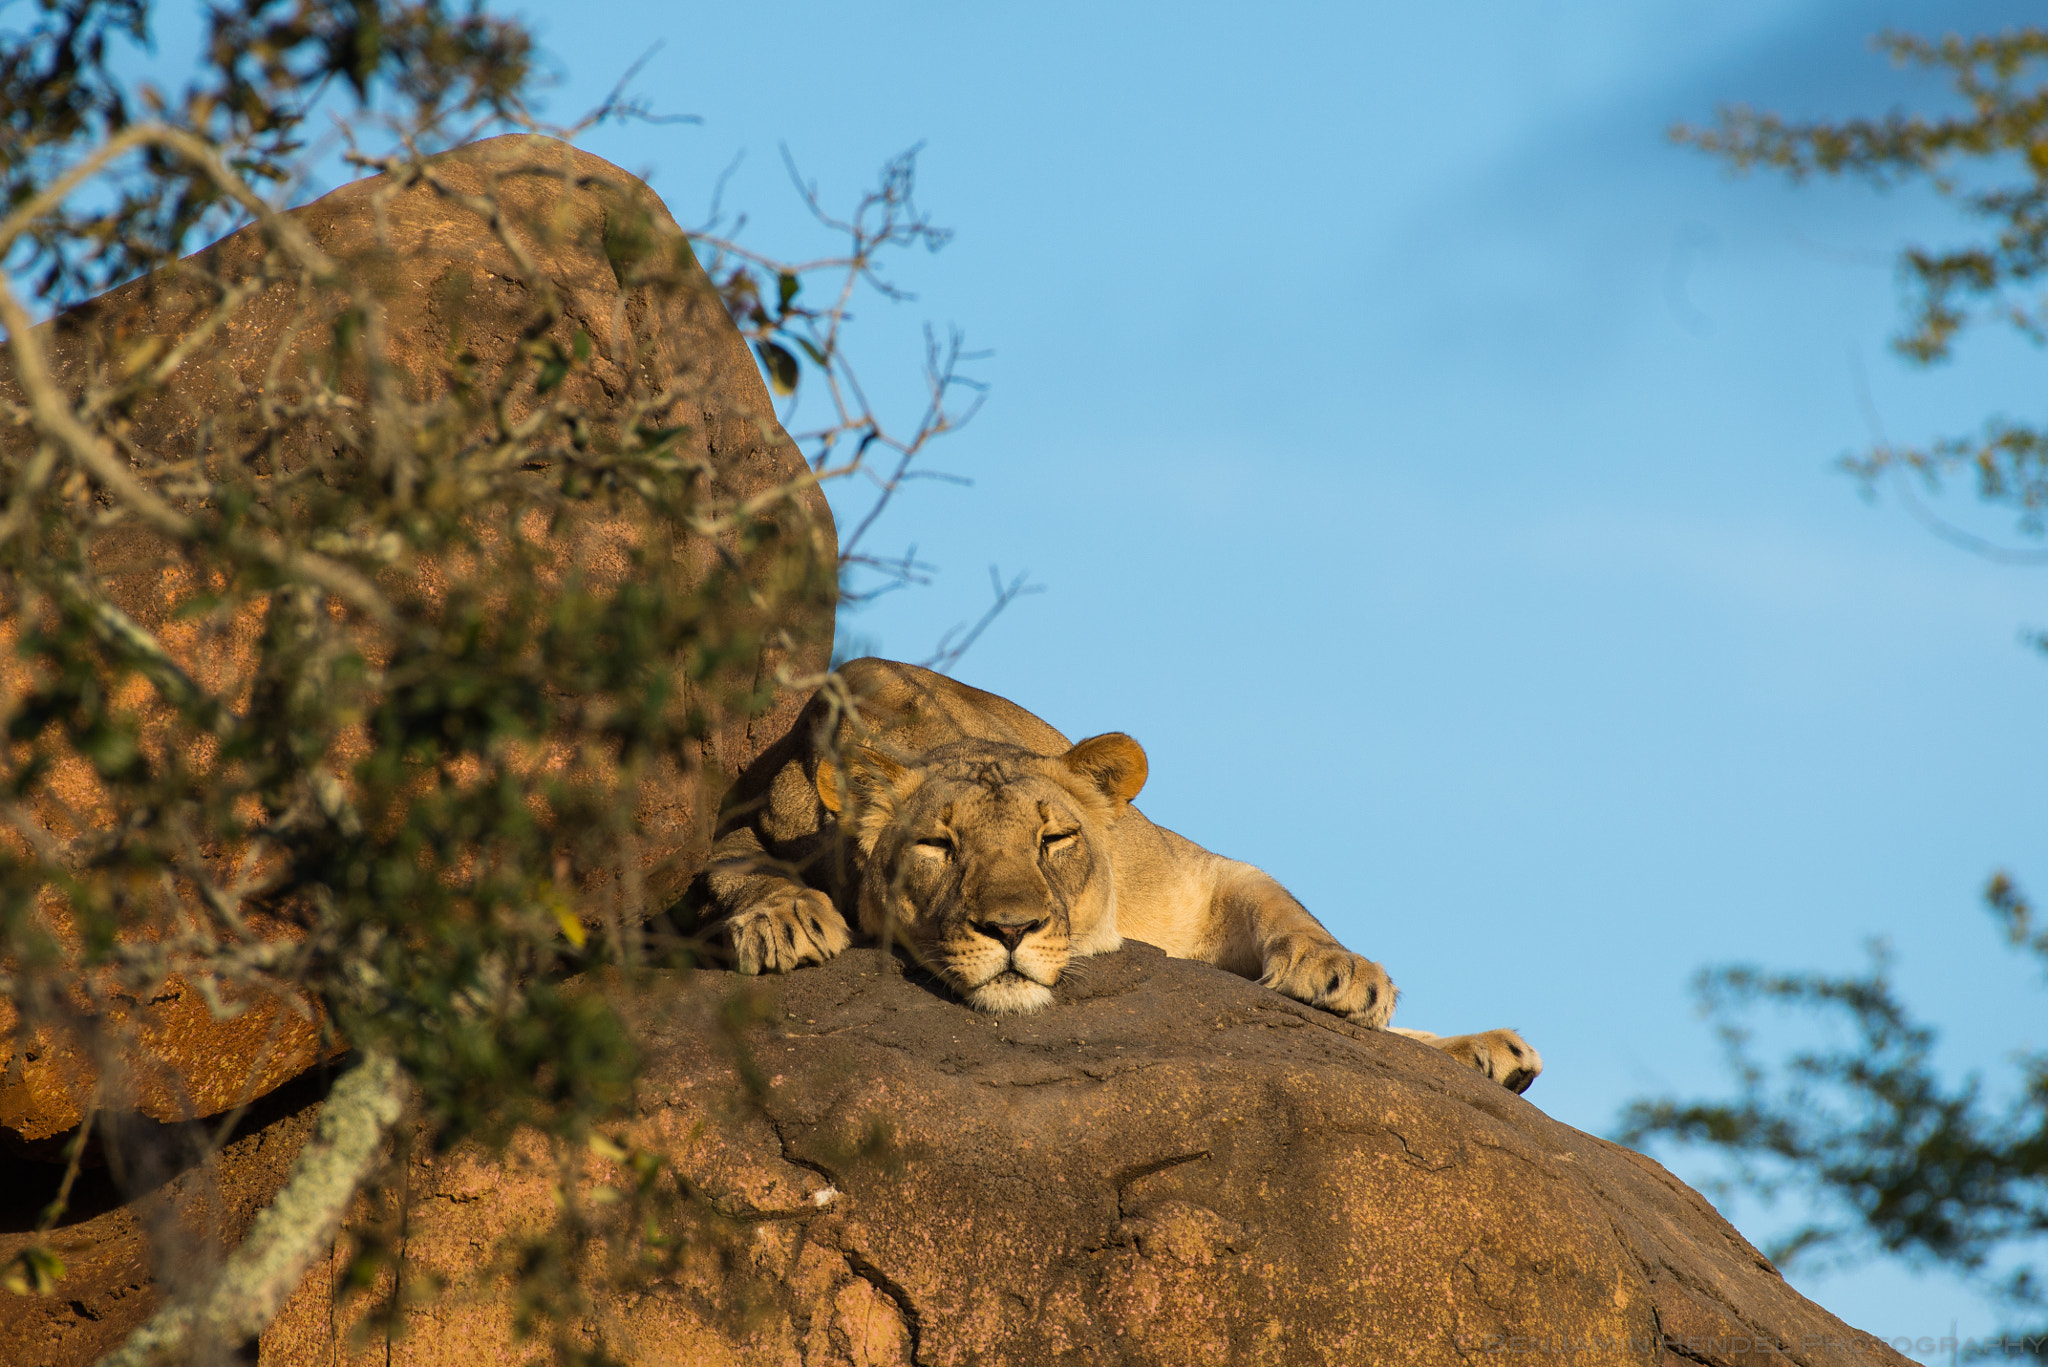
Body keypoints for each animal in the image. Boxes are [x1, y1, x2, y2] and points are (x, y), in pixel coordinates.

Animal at [702, 658, 1540, 1093]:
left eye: (1054, 837)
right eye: (940, 844)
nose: (1012, 928)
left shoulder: (1198, 875)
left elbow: (1283, 906)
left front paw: (1339, 971)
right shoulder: (753, 823)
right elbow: (733, 867)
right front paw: (785, 918)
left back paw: (1494, 1051)